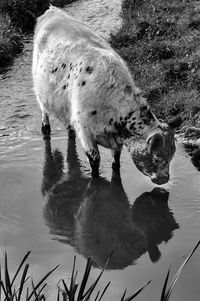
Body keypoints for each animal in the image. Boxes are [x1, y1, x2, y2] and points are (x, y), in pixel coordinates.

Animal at [32, 5, 176, 183]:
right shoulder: (85, 130)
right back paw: (45, 129)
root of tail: (52, 11)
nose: (165, 179)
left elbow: (116, 160)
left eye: (171, 155)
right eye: (158, 158)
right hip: (40, 90)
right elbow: (95, 161)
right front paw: (96, 181)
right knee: (44, 111)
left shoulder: (116, 139)